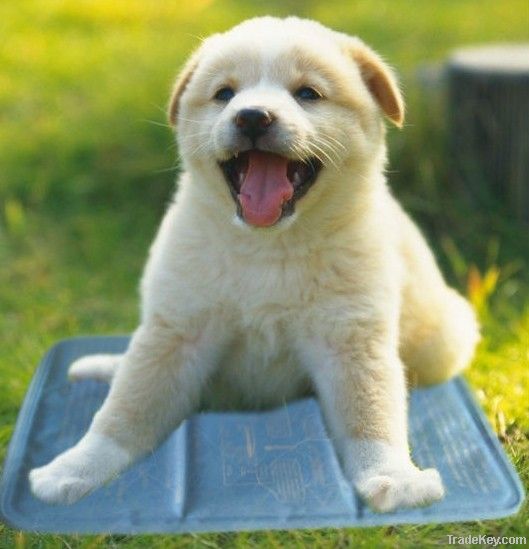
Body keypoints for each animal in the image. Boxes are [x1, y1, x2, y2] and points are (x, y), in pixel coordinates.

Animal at [27, 18, 478, 512]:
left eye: (307, 94)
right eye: (225, 94)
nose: (252, 116)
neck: (268, 249)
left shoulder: (350, 336)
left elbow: (371, 415)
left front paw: (392, 476)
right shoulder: (177, 329)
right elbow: (125, 409)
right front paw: (74, 468)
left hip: (442, 340)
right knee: (130, 369)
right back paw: (105, 366)